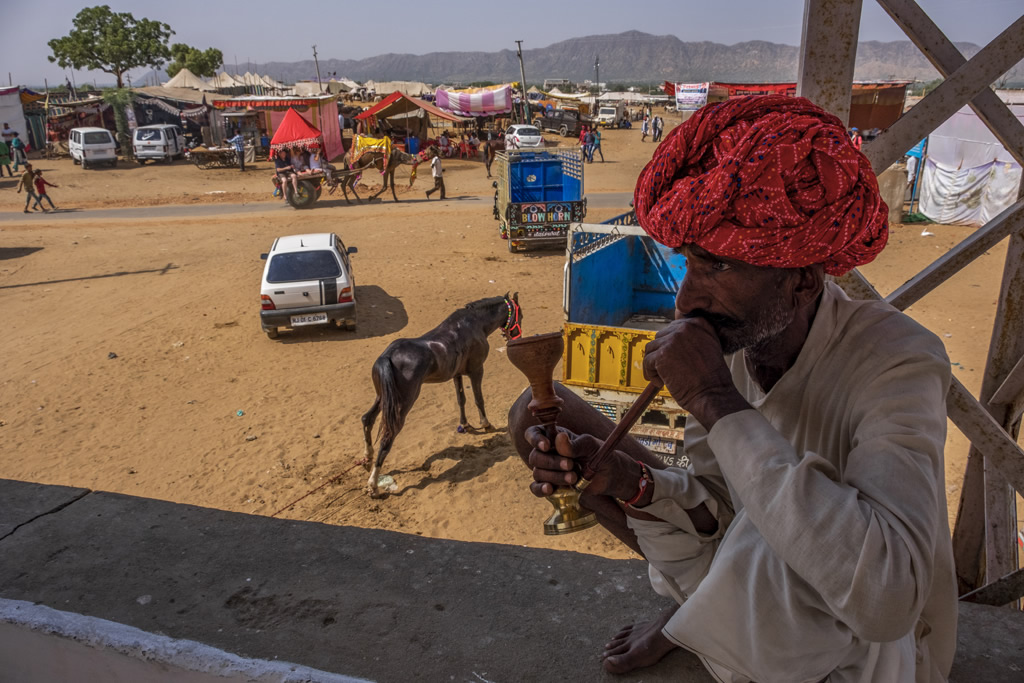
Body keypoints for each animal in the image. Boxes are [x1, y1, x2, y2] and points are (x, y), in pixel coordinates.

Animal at [360, 294, 524, 497]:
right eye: (520, 314)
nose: (517, 336)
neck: (476, 323)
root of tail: (388, 356)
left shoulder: (457, 374)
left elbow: (461, 400)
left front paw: (465, 425)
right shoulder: (477, 370)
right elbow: (478, 399)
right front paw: (486, 424)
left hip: (383, 398)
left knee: (367, 419)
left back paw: (368, 457)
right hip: (401, 405)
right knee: (387, 437)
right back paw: (373, 484)